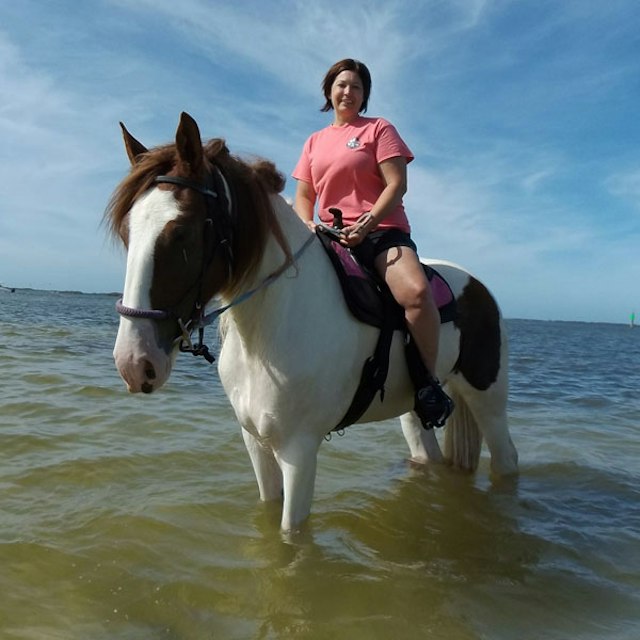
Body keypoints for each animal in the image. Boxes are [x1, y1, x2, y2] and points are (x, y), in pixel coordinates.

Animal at [106, 112, 518, 532]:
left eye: (181, 232)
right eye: (126, 232)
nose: (133, 363)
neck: (269, 330)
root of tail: (477, 285)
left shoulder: (298, 452)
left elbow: (291, 536)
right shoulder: (255, 444)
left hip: (487, 399)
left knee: (507, 460)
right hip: (412, 412)